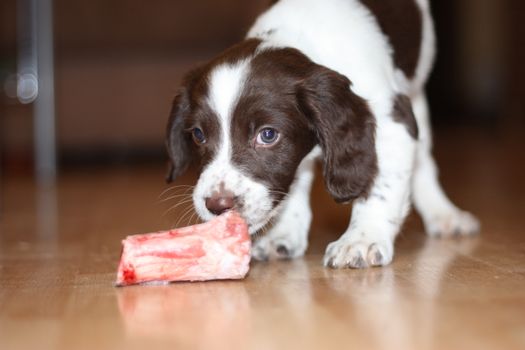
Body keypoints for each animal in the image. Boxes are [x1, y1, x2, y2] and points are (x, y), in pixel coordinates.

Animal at [165, 0, 478, 268]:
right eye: (198, 135)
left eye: (268, 135)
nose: (217, 206)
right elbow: (296, 181)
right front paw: (284, 234)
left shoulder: (392, 121)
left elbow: (380, 185)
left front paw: (362, 239)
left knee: (423, 158)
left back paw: (444, 215)